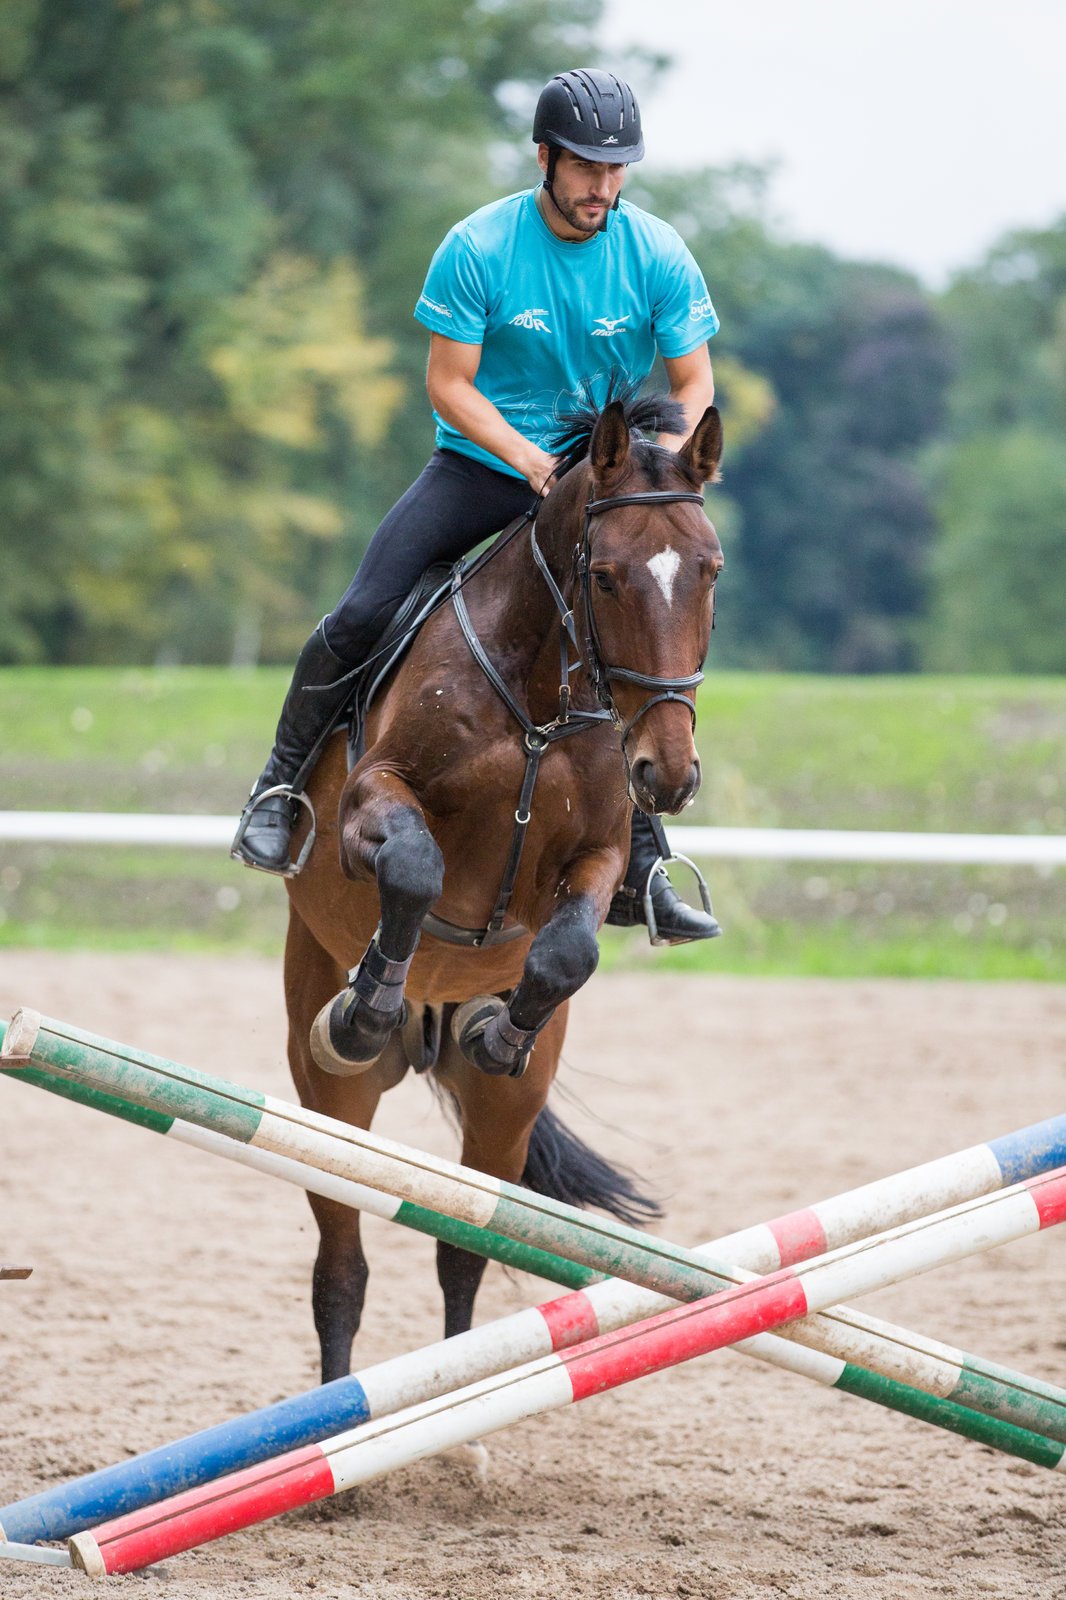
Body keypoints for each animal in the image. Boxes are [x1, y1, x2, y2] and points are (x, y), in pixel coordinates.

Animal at [281, 393, 723, 1382]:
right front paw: (369, 1002)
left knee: (464, 1249)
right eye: (605, 578)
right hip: (327, 1093)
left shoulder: (597, 855)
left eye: (711, 574)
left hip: (501, 1121)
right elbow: (415, 868)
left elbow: (570, 948)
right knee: (341, 1267)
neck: (540, 701)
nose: (670, 774)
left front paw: (502, 1027)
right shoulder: (371, 804)